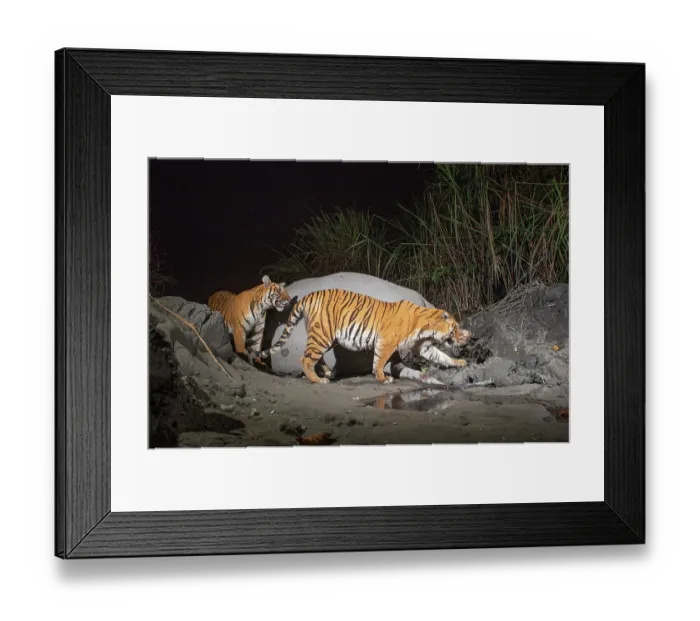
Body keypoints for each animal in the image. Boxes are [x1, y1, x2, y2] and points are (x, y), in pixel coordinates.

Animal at [251, 288, 472, 385]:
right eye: (455, 327)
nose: (464, 336)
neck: (425, 327)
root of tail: (308, 296)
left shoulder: (423, 346)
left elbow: (441, 356)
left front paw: (460, 362)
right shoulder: (386, 341)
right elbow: (379, 361)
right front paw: (383, 378)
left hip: (325, 337)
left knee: (315, 357)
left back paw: (328, 373)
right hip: (322, 334)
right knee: (305, 359)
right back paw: (318, 380)